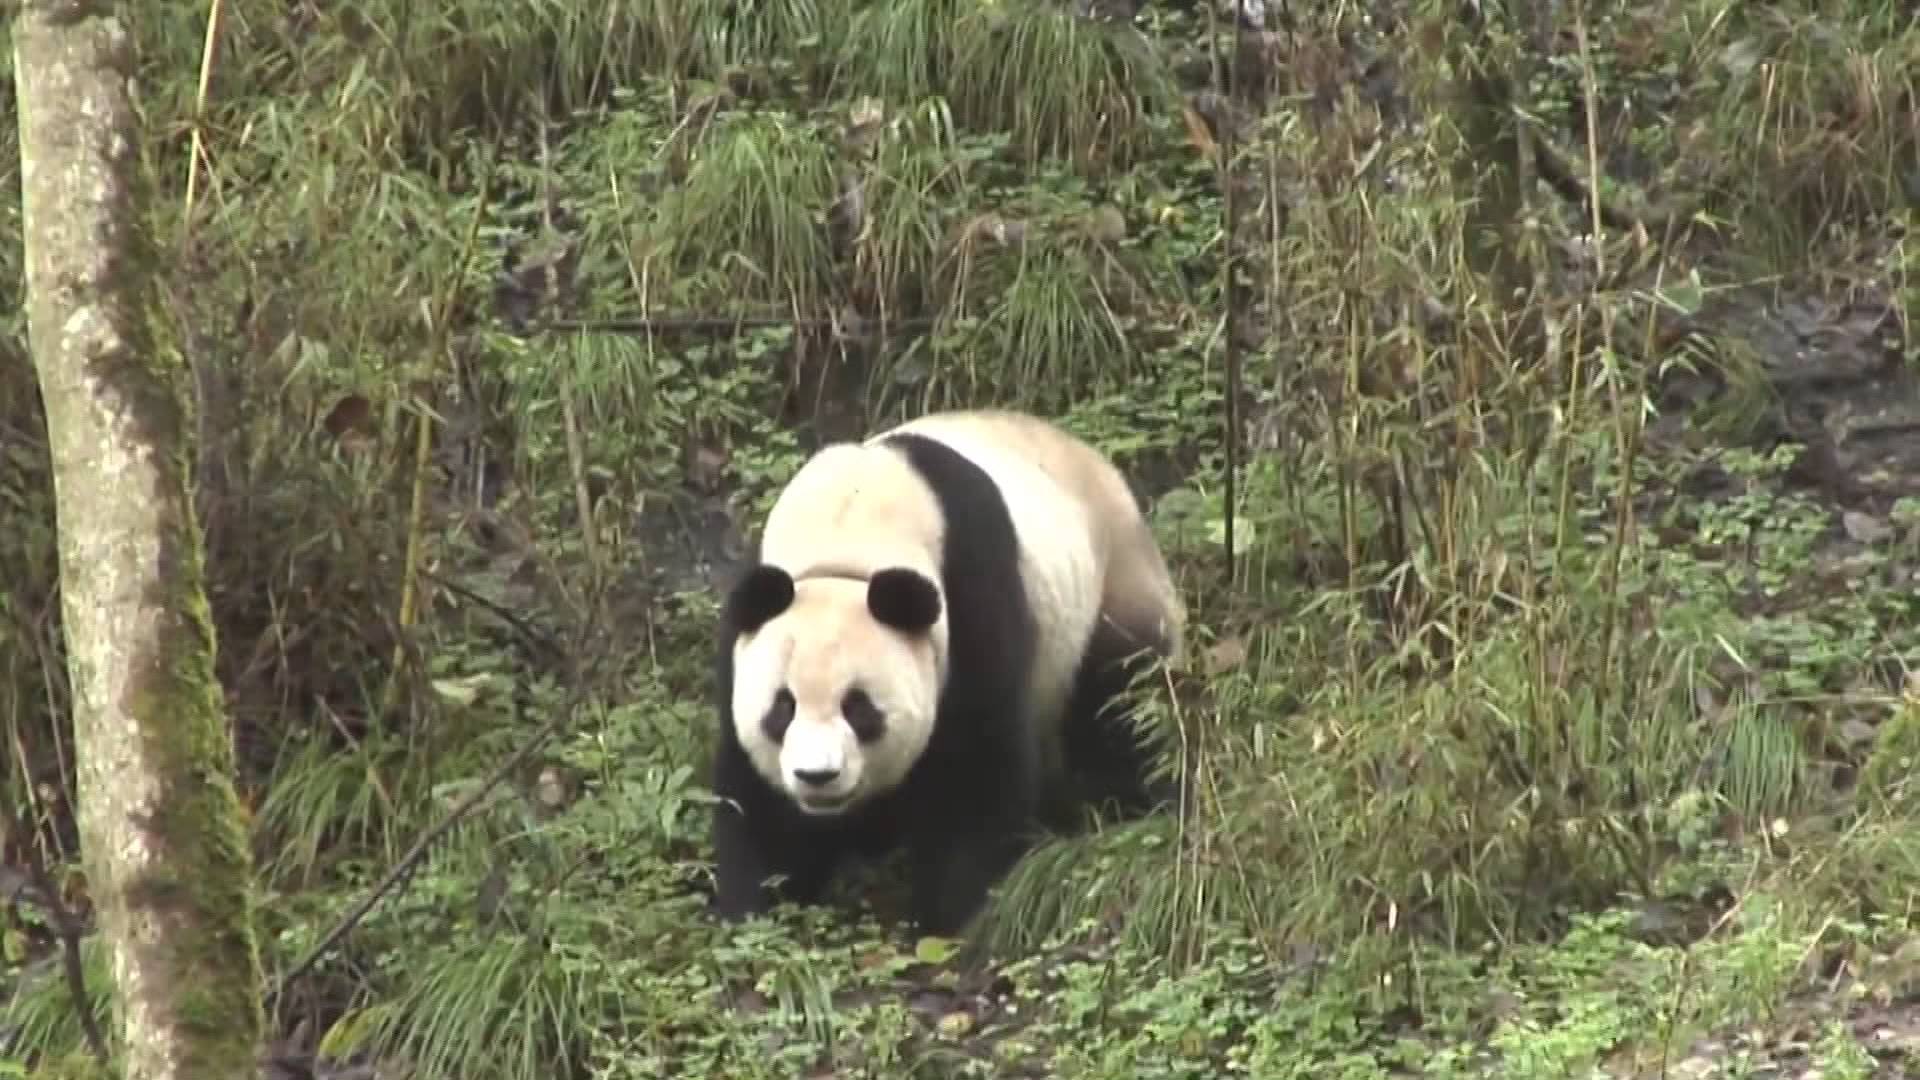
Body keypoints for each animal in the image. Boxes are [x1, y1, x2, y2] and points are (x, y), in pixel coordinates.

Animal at [706, 407, 1182, 930]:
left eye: (859, 708)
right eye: (782, 708)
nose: (818, 777)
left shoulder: (971, 587)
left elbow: (976, 763)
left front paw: (946, 914)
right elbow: (756, 800)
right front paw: (757, 912)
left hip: (1111, 592)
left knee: (1124, 703)